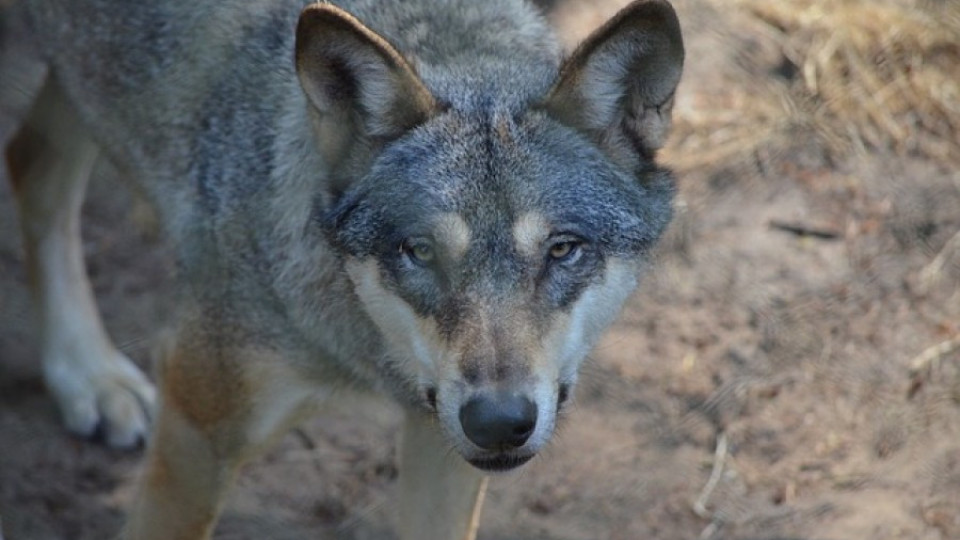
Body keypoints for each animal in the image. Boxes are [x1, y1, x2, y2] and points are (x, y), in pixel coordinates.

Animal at [0, 0, 684, 536]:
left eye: (562, 249)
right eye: (419, 250)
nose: (498, 423)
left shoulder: (442, 447)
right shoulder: (198, 426)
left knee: (32, 163)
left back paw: (87, 376)